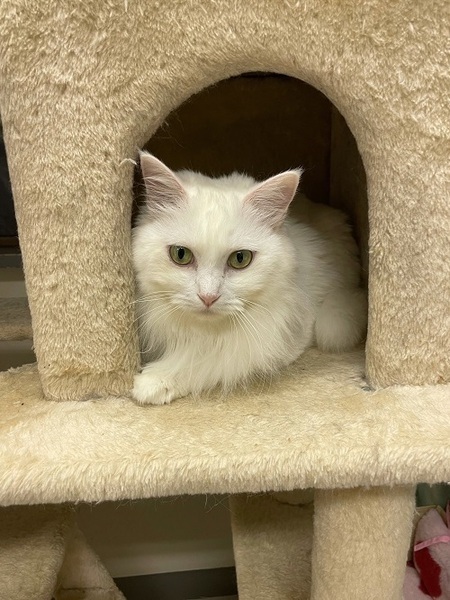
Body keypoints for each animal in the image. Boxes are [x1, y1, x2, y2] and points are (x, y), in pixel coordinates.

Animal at [132, 152, 367, 405]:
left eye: (240, 259)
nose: (208, 297)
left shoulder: (280, 338)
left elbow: (208, 361)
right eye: (181, 254)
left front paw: (152, 383)